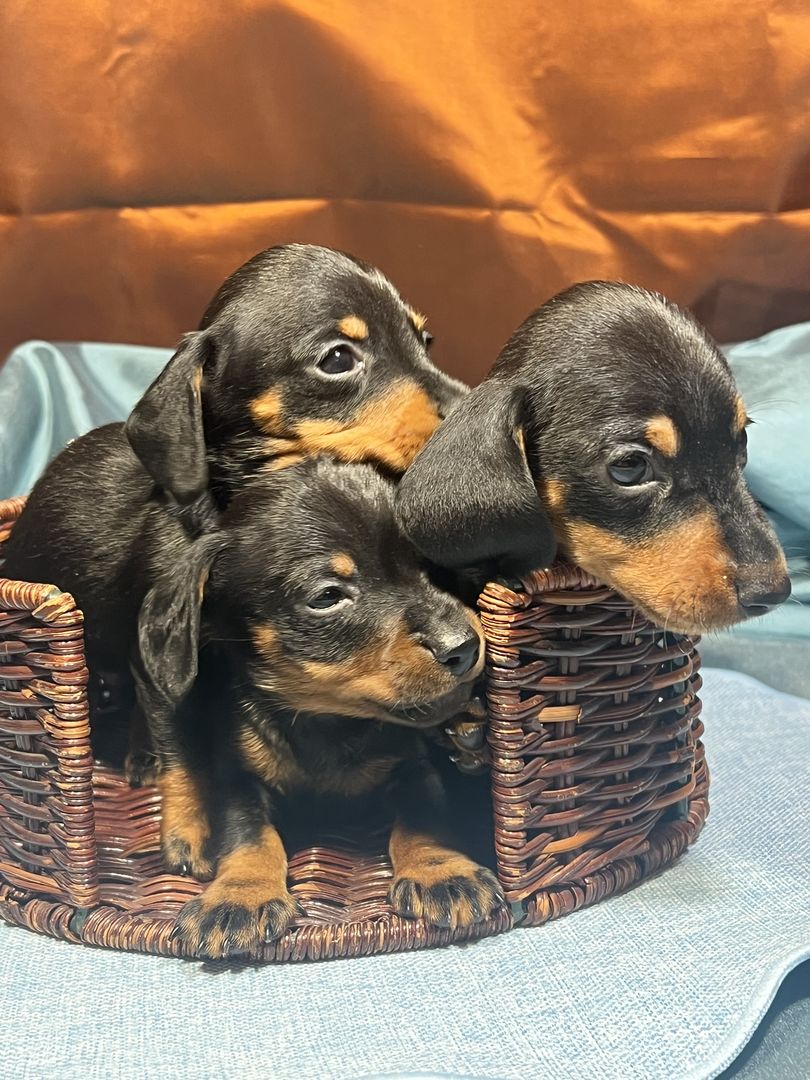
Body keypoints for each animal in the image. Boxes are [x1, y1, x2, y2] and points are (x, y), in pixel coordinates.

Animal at [3, 244, 466, 778]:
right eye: (337, 358)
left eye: (425, 340)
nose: (473, 410)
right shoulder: (155, 647)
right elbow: (166, 719)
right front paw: (151, 759)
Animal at [135, 457, 504, 957]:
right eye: (327, 596)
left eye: (430, 568)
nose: (464, 647)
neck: (329, 722)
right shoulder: (239, 779)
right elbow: (248, 835)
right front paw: (241, 895)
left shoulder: (412, 765)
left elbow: (423, 816)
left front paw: (442, 872)